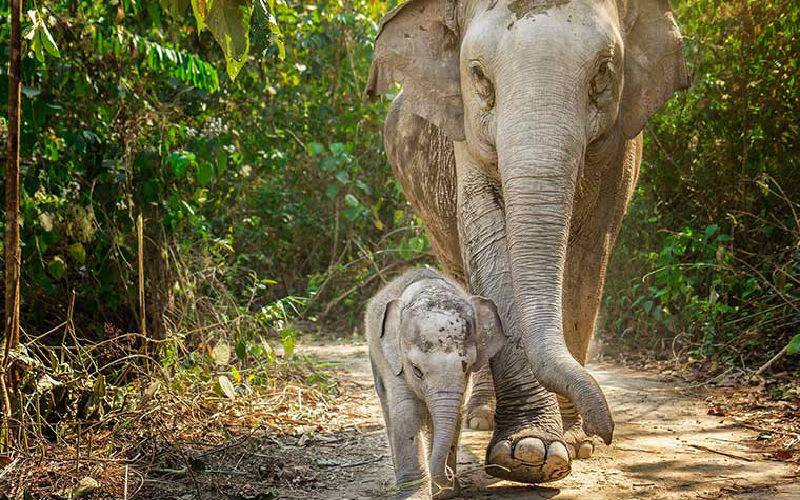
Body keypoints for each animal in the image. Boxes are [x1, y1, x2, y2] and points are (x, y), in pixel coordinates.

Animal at [366, 267, 506, 498]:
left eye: (466, 368)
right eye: (416, 370)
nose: (449, 474)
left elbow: (455, 415)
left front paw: (446, 492)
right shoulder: (395, 362)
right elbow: (406, 412)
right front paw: (413, 494)